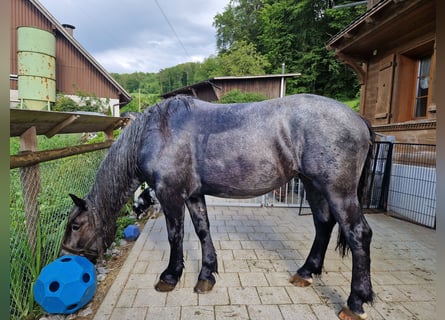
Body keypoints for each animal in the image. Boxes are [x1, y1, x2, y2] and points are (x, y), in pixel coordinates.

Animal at [61, 94, 374, 318]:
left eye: (76, 225)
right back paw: (306, 273)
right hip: (313, 186)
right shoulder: (193, 195)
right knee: (323, 224)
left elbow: (175, 235)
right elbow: (202, 231)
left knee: (358, 234)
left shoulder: (170, 195)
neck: (157, 132)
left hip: (338, 191)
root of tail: (358, 119)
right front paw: (206, 275)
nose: (68, 256)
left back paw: (355, 303)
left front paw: (170, 276)